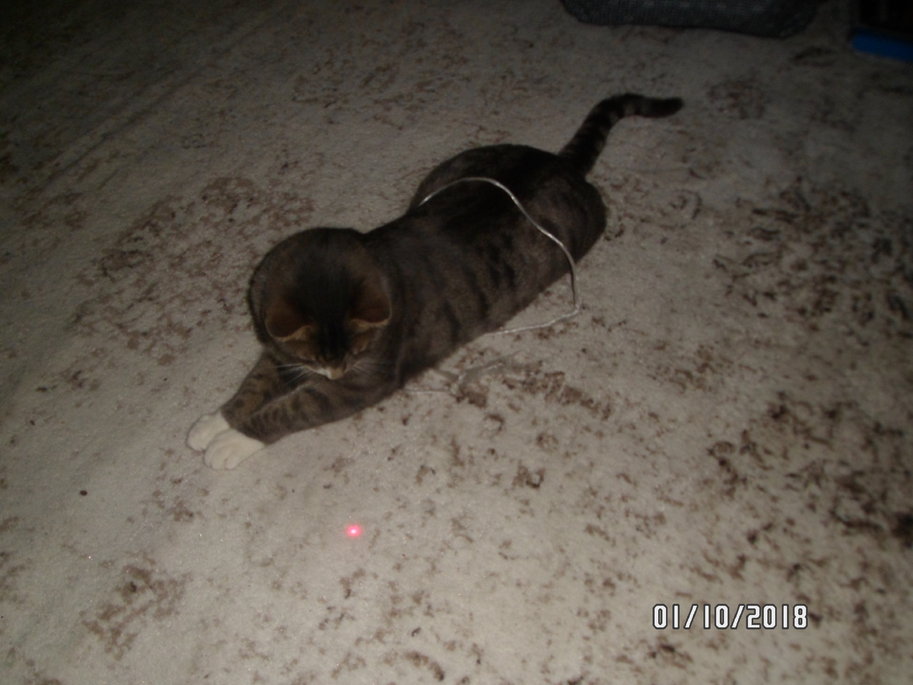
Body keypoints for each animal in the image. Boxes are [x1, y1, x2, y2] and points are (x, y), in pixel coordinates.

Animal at [188, 94, 682, 469]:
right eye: (315, 355)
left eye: (358, 353)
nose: (336, 369)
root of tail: (561, 164)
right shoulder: (280, 348)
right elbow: (255, 383)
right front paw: (214, 422)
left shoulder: (359, 383)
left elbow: (294, 407)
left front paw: (232, 441)